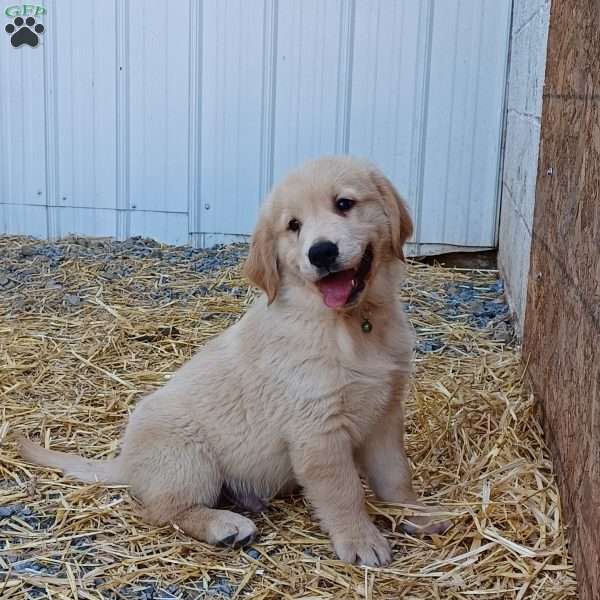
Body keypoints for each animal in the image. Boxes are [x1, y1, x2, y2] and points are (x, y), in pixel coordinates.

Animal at [16, 156, 446, 568]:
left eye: (345, 204)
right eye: (293, 226)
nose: (321, 252)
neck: (352, 323)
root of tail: (126, 462)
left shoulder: (385, 413)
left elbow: (396, 476)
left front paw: (419, 515)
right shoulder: (318, 430)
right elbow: (344, 492)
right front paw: (360, 540)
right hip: (189, 458)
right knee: (163, 510)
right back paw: (223, 524)